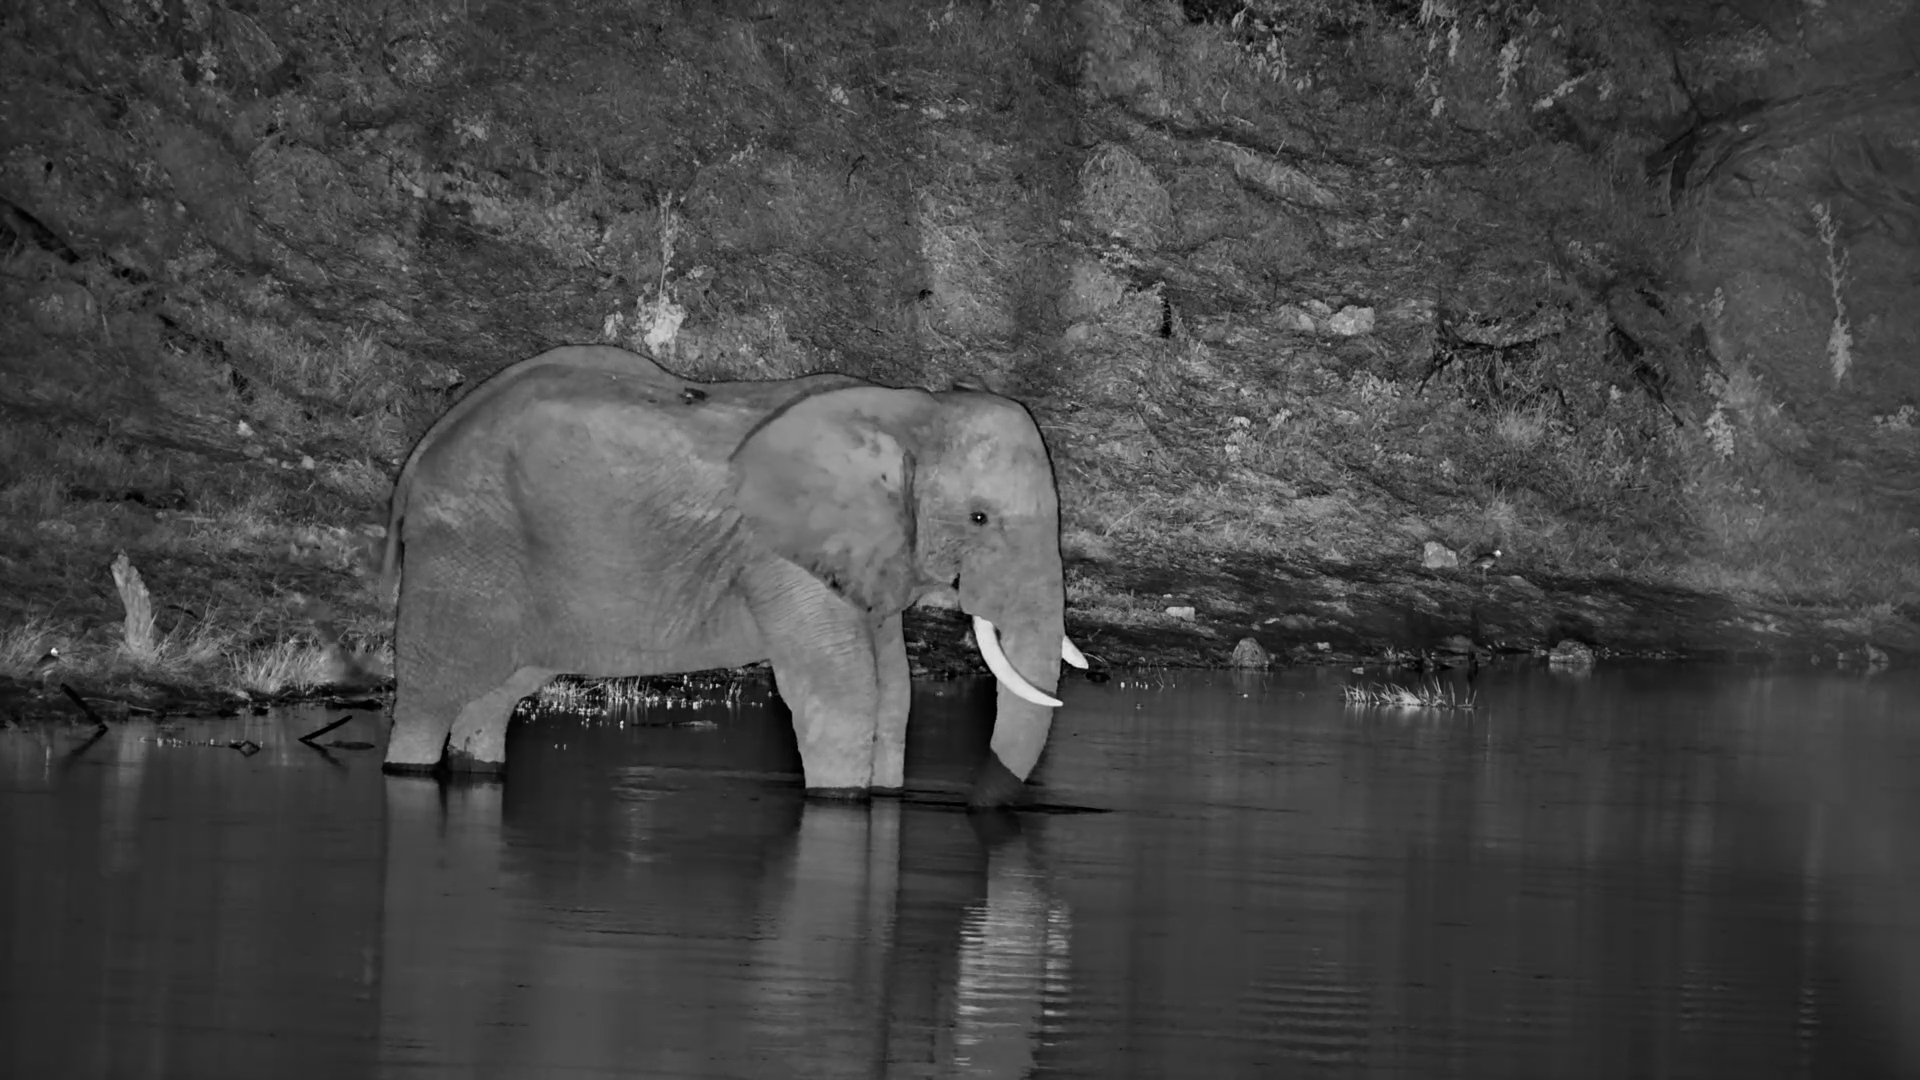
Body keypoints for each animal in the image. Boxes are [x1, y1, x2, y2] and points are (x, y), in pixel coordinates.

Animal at [380, 345, 1084, 807]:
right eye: (980, 517)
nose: (974, 805)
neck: (911, 411)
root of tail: (426, 446)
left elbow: (893, 693)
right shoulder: (778, 553)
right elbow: (844, 692)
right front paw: (843, 802)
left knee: (495, 692)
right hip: (463, 549)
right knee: (428, 697)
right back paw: (407, 770)